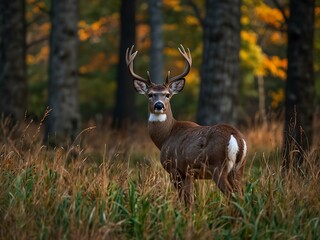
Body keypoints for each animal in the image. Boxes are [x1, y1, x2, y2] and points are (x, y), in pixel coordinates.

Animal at [125, 45, 248, 204]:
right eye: (150, 94)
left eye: (167, 94)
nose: (159, 105)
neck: (166, 136)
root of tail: (236, 137)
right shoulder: (189, 172)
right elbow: (189, 199)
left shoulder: (176, 168)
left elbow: (186, 200)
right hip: (239, 169)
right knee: (241, 195)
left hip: (218, 166)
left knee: (231, 195)